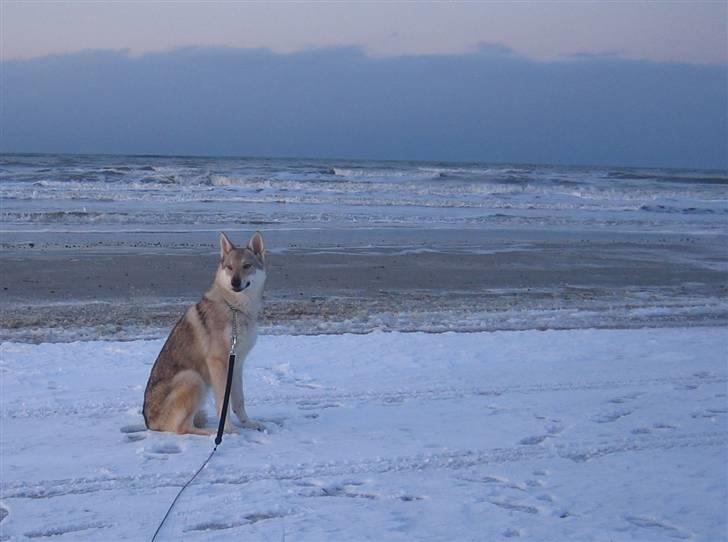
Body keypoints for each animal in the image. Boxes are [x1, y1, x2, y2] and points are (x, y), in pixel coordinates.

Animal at [143, 232, 268, 436]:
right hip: (193, 378)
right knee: (181, 428)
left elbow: (238, 401)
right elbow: (222, 403)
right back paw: (212, 432)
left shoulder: (237, 363)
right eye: (229, 267)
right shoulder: (217, 362)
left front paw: (248, 424)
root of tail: (149, 423)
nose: (235, 282)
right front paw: (228, 430)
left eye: (246, 266)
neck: (235, 309)